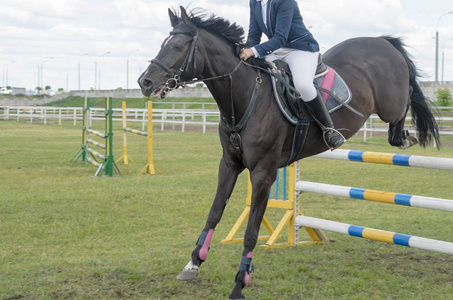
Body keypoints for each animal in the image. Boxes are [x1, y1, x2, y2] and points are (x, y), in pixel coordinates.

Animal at [138, 7, 438, 300]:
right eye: (164, 44)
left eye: (178, 46)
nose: (145, 82)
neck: (245, 95)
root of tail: (381, 41)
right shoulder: (230, 164)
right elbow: (214, 213)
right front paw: (193, 264)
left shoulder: (263, 173)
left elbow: (251, 232)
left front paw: (240, 284)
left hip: (390, 104)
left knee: (407, 99)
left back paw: (405, 136)